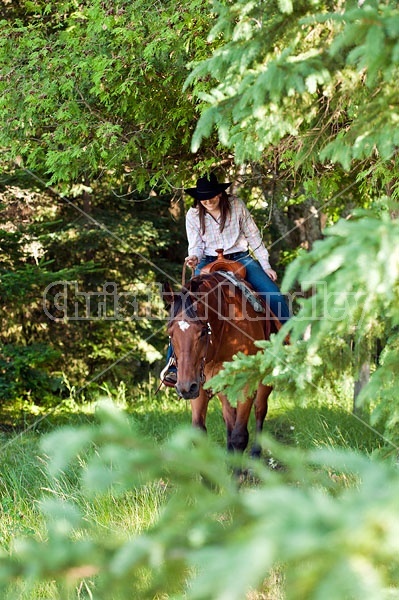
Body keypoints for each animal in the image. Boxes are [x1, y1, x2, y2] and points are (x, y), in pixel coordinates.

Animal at [161, 270, 280, 454]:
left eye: (203, 331)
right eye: (170, 332)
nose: (185, 388)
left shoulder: (246, 384)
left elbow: (239, 436)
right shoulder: (198, 385)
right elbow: (201, 434)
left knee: (260, 410)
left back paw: (255, 453)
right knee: (229, 419)